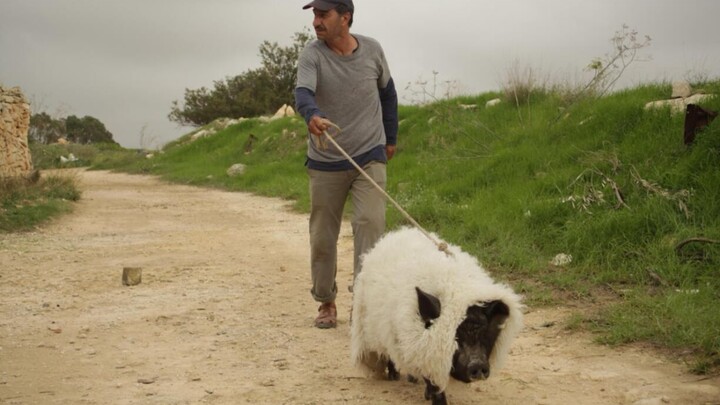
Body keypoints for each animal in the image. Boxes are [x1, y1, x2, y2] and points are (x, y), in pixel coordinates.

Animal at [350, 226, 524, 405]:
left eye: (484, 332)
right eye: (457, 336)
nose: (477, 364)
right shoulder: (427, 345)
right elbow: (432, 378)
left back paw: (411, 379)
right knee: (388, 351)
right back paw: (394, 376)